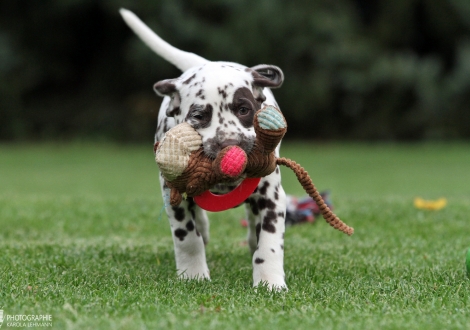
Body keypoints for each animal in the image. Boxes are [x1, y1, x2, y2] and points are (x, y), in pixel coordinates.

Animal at [119, 9, 288, 290]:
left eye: (244, 109)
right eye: (199, 116)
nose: (230, 145)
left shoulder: (271, 195)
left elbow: (269, 242)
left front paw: (270, 282)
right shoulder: (171, 193)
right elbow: (187, 236)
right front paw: (193, 274)